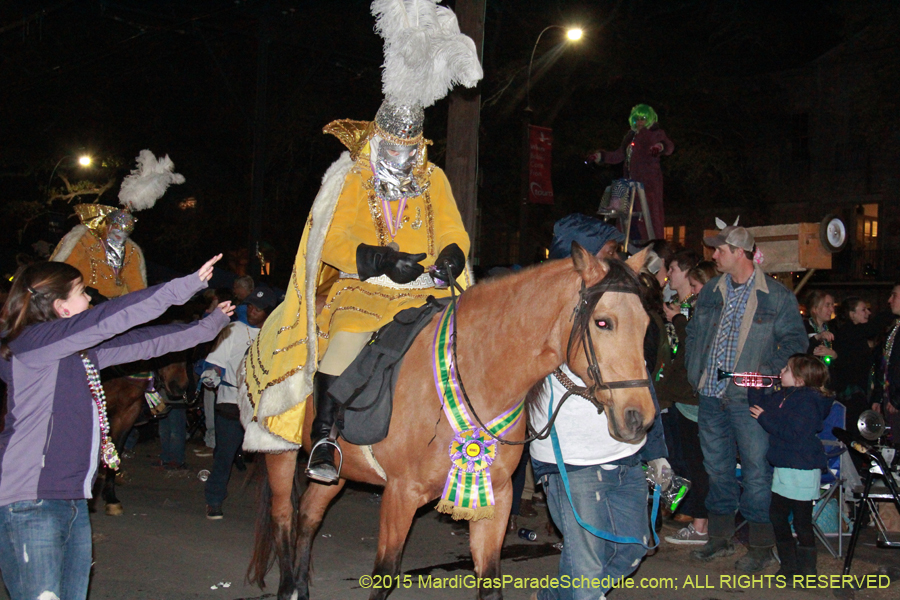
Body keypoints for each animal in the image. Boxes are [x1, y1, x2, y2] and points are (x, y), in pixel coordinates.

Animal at [246, 245, 652, 600]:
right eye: (603, 322)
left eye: (647, 323)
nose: (640, 418)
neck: (473, 376)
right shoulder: (400, 493)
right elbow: (384, 575)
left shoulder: (497, 495)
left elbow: (489, 580)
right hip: (279, 449)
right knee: (284, 516)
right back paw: (288, 587)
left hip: (341, 470)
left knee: (309, 516)